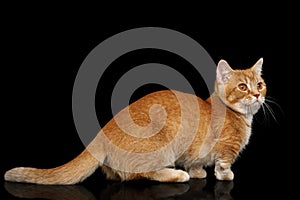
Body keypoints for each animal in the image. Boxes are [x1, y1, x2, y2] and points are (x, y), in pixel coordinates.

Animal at [4, 57, 266, 184]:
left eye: (260, 84)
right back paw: (175, 175)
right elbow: (223, 164)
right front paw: (224, 175)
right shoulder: (226, 148)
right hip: (160, 148)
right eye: (242, 87)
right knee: (137, 174)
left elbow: (195, 162)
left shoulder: (195, 153)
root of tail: (102, 133)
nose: (257, 94)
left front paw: (198, 171)